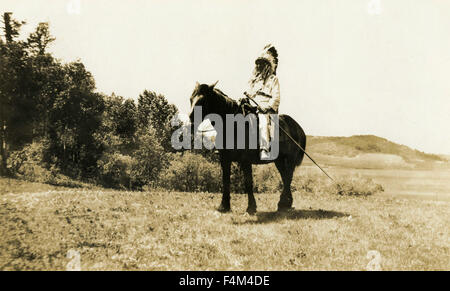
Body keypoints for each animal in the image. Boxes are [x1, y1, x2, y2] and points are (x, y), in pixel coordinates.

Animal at [186, 82, 306, 214]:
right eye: (191, 99)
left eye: (202, 100)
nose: (191, 120)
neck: (233, 126)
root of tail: (298, 128)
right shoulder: (225, 160)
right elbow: (226, 181)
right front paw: (224, 206)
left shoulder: (245, 161)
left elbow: (248, 182)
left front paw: (251, 207)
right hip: (279, 161)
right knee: (285, 177)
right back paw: (285, 204)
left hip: (289, 160)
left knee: (288, 178)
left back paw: (283, 203)